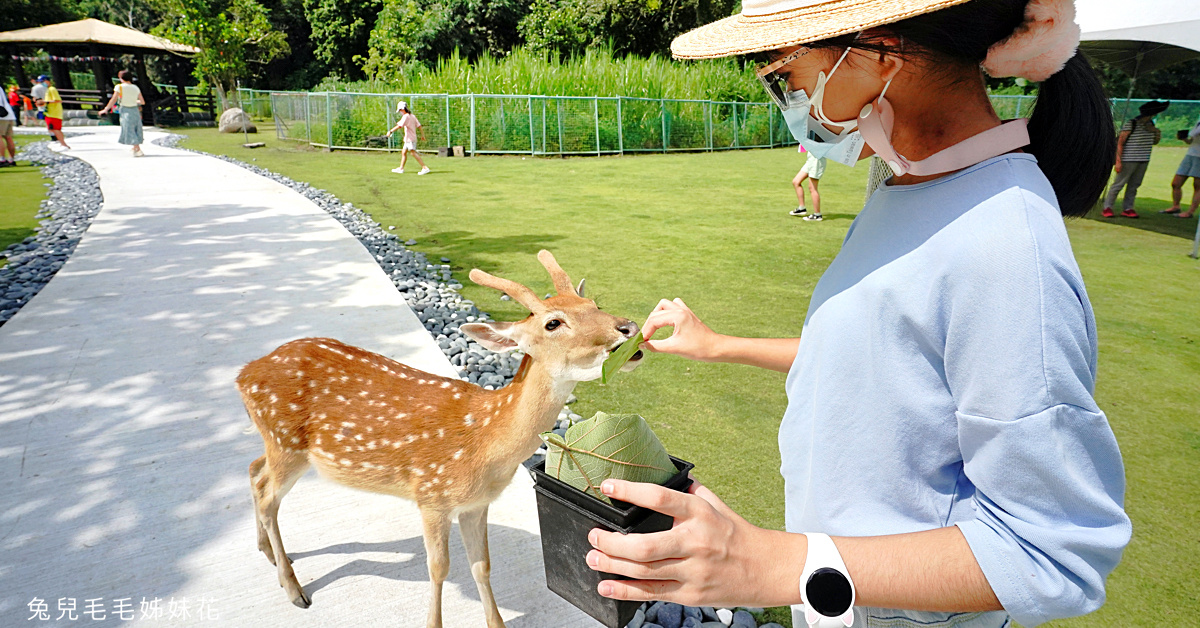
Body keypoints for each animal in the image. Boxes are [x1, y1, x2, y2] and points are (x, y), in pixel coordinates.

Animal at [237, 250, 643, 628]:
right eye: (553, 322)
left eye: (595, 305)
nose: (628, 327)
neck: (486, 442)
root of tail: (244, 374)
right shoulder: (431, 495)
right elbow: (439, 569)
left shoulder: (476, 504)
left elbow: (482, 565)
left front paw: (496, 623)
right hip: (287, 442)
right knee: (269, 496)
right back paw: (294, 589)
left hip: (275, 442)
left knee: (255, 471)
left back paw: (266, 552)